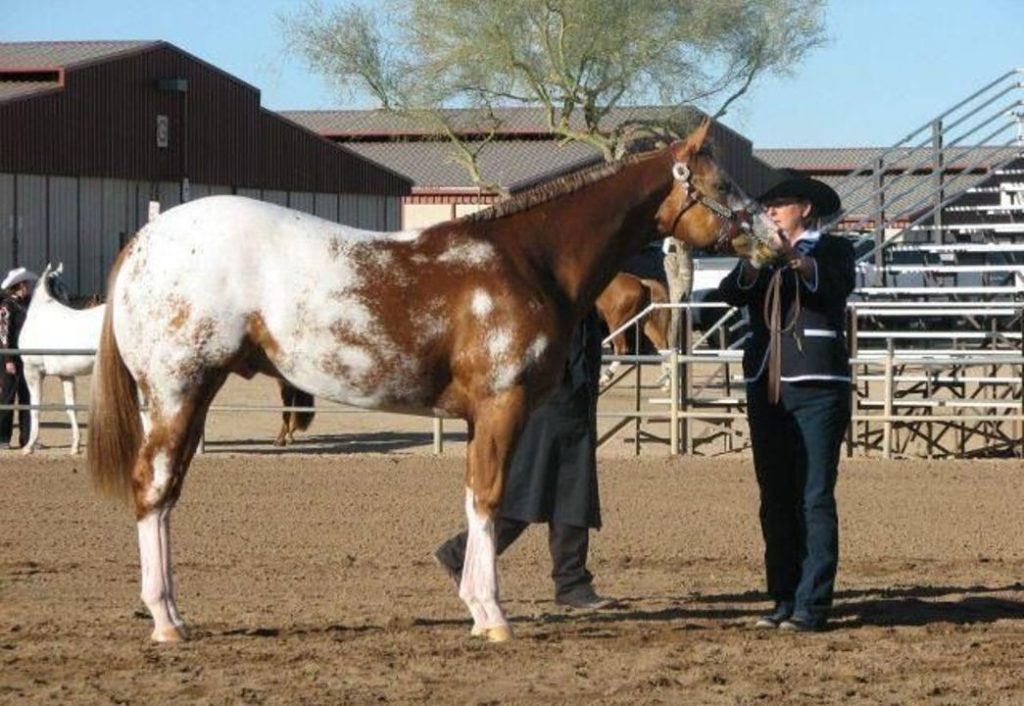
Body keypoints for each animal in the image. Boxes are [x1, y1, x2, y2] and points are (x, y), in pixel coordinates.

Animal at [19, 262, 105, 450]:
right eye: (60, 288)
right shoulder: (66, 374)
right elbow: (71, 407)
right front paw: (75, 445)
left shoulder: (32, 370)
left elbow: (35, 406)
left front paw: (29, 445)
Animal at [90, 122, 774, 643]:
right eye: (723, 183)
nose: (773, 239)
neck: (526, 260)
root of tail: (145, 240)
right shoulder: (501, 406)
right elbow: (489, 500)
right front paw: (492, 615)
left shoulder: (481, 417)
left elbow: (479, 502)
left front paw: (475, 605)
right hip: (176, 393)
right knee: (153, 489)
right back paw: (165, 621)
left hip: (187, 398)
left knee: (166, 495)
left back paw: (174, 614)